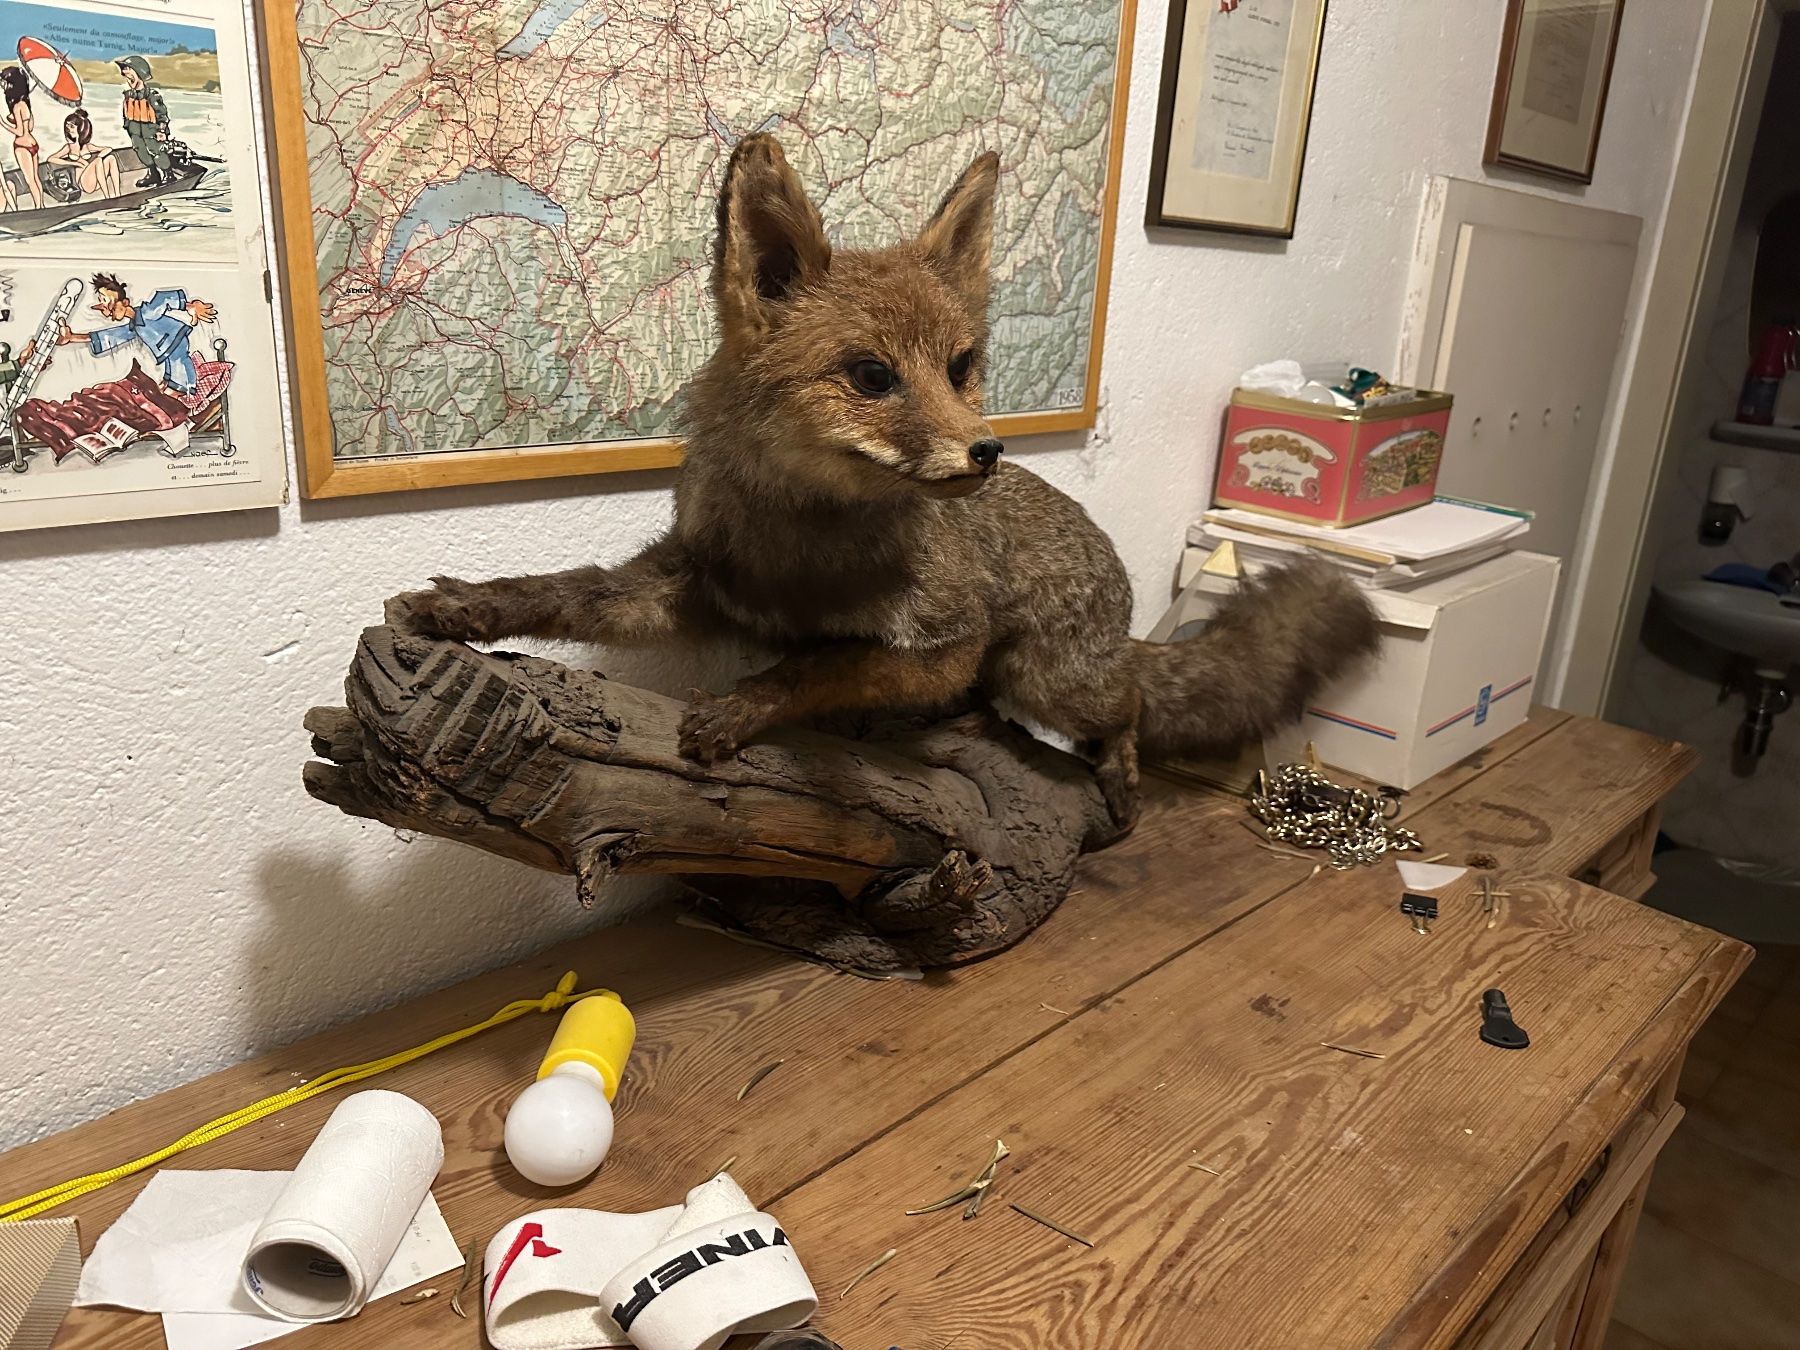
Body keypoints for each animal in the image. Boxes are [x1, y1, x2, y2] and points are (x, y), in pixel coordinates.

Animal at [386, 134, 1379, 827]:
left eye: (961, 366)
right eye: (872, 376)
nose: (987, 454)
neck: (798, 544)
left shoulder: (945, 636)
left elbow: (821, 663)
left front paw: (744, 707)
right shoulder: (694, 581)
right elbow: (562, 594)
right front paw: (462, 607)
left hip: (1047, 678)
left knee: (1126, 702)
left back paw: (1115, 766)